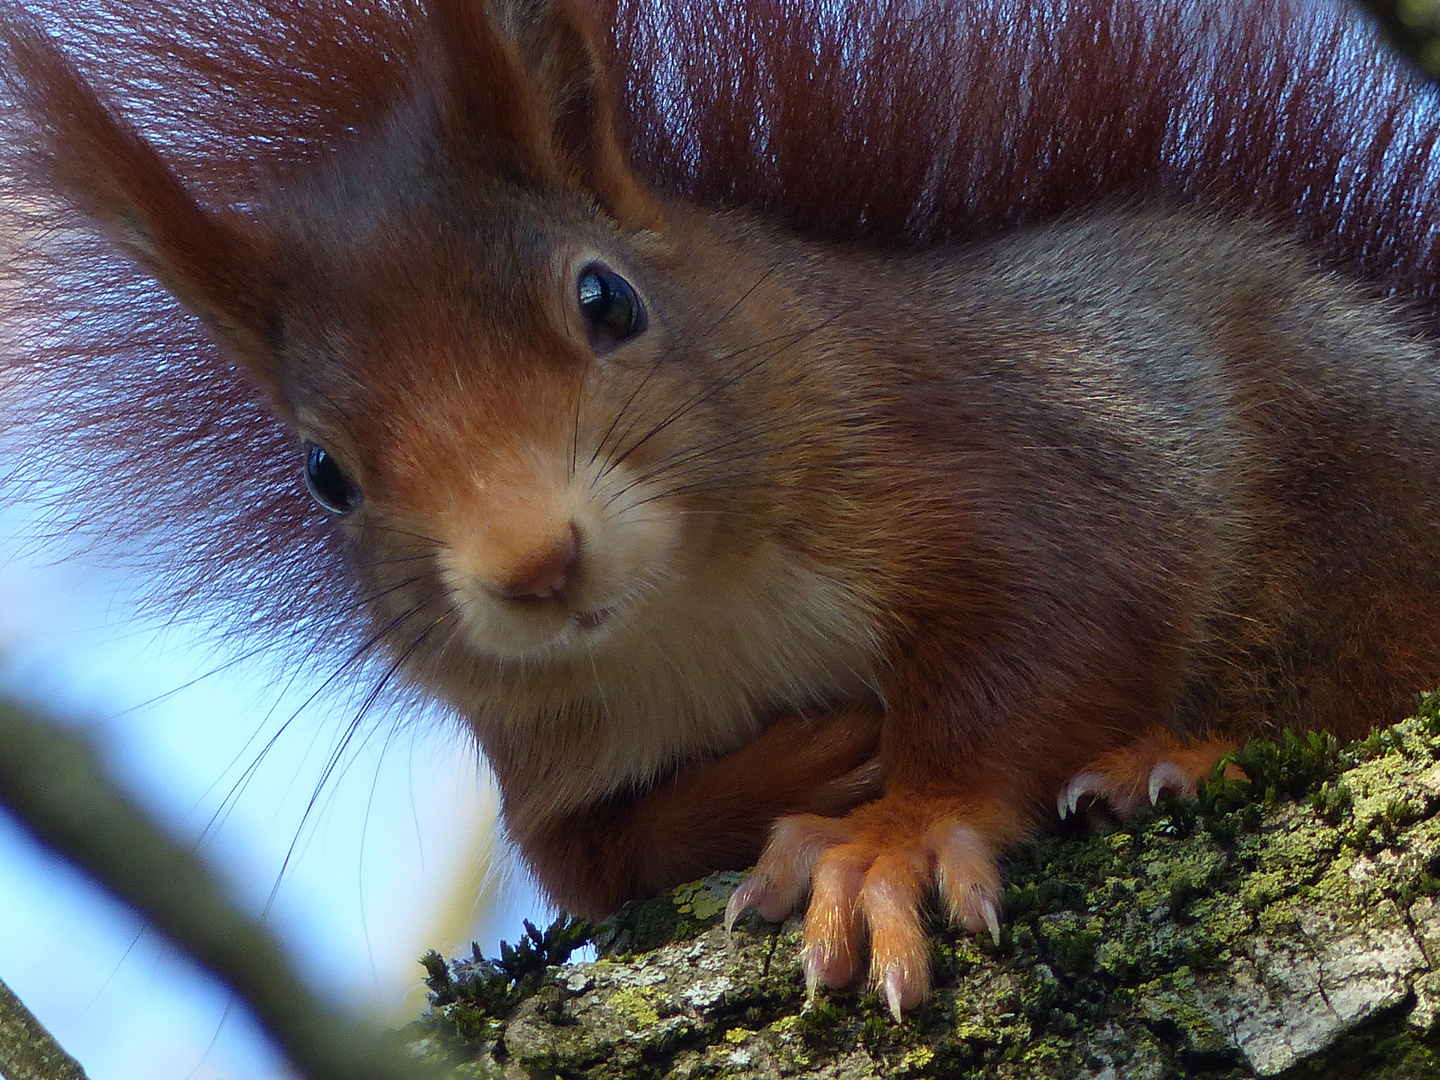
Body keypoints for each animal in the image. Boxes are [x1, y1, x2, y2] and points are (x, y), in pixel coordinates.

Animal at [2, 0, 1440, 1025]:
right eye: (321, 473)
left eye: (607, 299)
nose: (533, 564)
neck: (698, 611)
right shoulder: (542, 763)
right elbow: (591, 865)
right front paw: (789, 775)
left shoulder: (1023, 443)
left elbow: (1064, 621)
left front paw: (896, 837)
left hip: (1351, 476)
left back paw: (1185, 755)